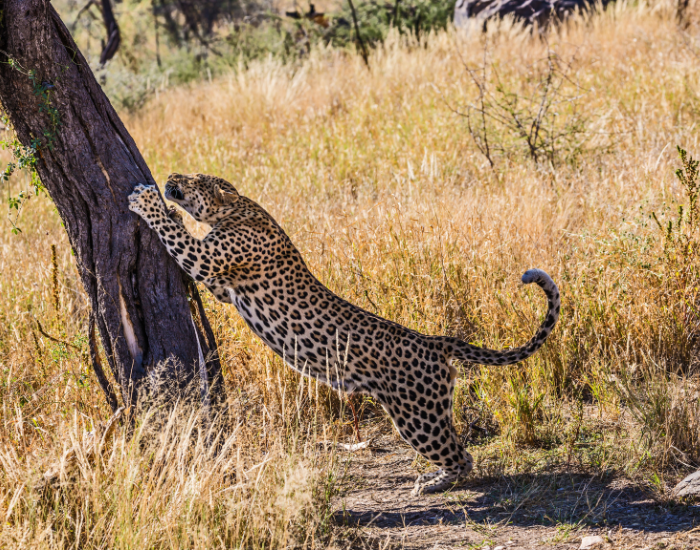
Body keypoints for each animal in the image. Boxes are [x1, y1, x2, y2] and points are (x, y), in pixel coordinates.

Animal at [128, 173, 560, 495]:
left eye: (194, 179)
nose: (171, 176)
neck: (238, 208)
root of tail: (434, 340)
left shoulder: (205, 259)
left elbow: (173, 232)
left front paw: (146, 200)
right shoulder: (218, 284)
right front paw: (164, 205)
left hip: (417, 416)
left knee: (460, 456)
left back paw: (431, 484)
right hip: (428, 408)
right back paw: (432, 479)